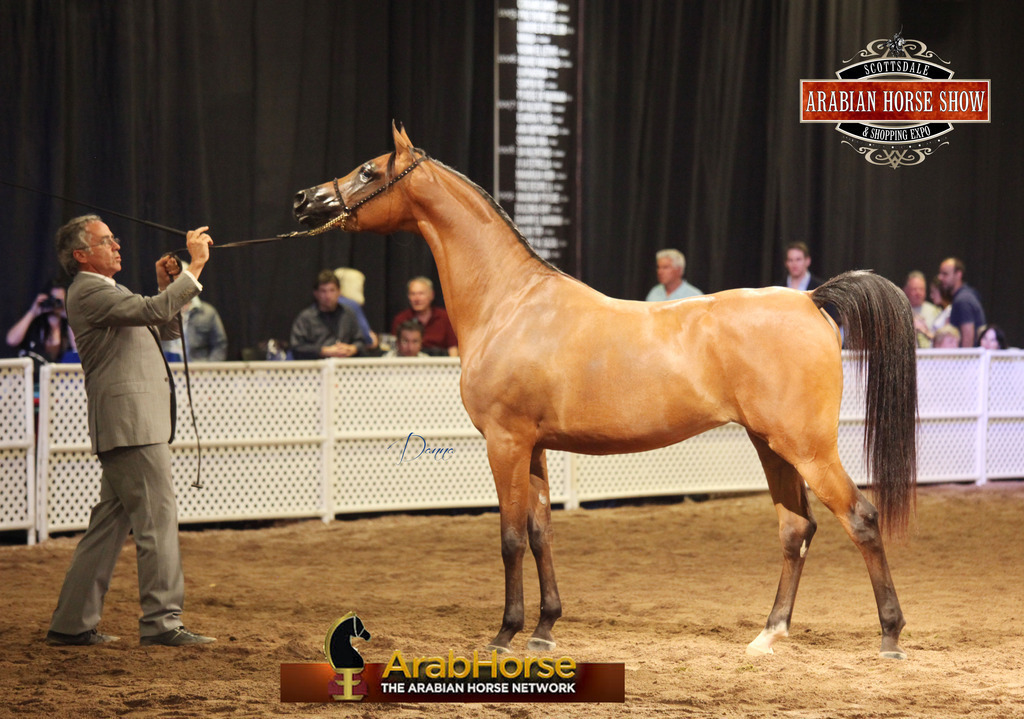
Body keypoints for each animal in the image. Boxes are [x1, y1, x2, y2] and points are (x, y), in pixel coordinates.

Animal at [293, 123, 918, 660]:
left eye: (369, 170)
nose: (306, 199)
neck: (510, 302)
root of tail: (810, 299)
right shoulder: (535, 447)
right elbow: (541, 532)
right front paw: (544, 628)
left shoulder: (505, 442)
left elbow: (510, 537)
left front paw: (506, 633)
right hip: (772, 447)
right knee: (796, 528)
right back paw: (770, 634)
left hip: (808, 448)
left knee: (861, 517)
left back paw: (890, 636)